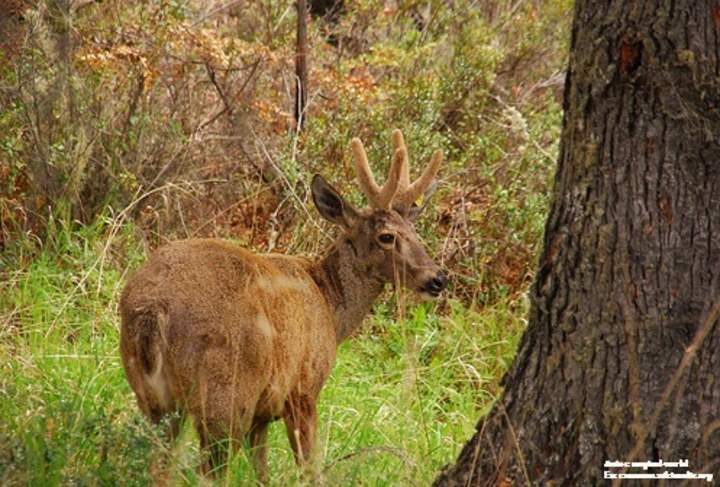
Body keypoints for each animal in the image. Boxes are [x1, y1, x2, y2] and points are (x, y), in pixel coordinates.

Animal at [119, 129, 444, 480]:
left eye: (414, 231)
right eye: (386, 236)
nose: (437, 279)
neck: (330, 305)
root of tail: (154, 309)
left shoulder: (262, 414)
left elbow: (261, 472)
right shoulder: (303, 389)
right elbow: (310, 468)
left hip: (151, 396)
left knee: (158, 464)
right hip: (225, 395)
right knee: (210, 471)